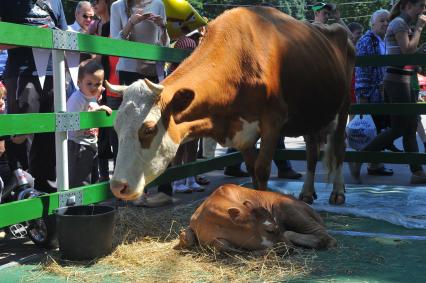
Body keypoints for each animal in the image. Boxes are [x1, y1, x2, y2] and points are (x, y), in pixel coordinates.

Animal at [108, 6, 354, 204]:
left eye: (148, 129)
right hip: (311, 114)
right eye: (116, 128)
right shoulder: (241, 131)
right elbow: (253, 171)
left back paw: (338, 192)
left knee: (340, 146)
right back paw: (307, 192)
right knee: (312, 152)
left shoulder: (273, 120)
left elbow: (262, 170)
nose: (117, 186)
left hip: (344, 107)